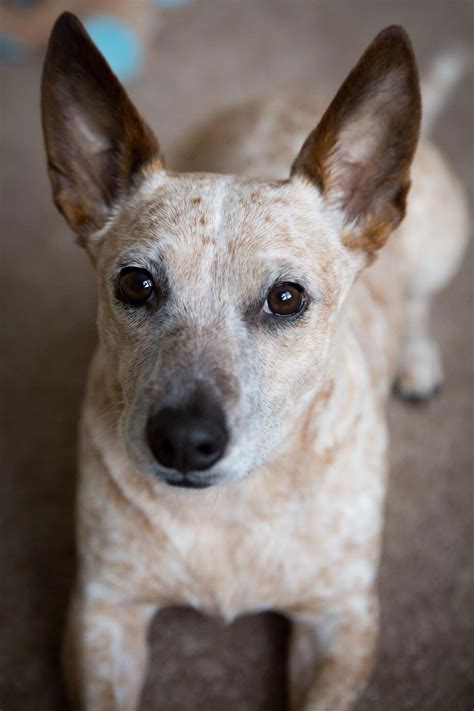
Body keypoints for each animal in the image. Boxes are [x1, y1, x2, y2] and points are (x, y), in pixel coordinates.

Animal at [41, 11, 470, 711]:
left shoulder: (342, 619)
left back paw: (417, 361)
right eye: (135, 284)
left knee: (418, 300)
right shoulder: (103, 612)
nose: (184, 442)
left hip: (442, 247)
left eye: (286, 298)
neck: (232, 508)